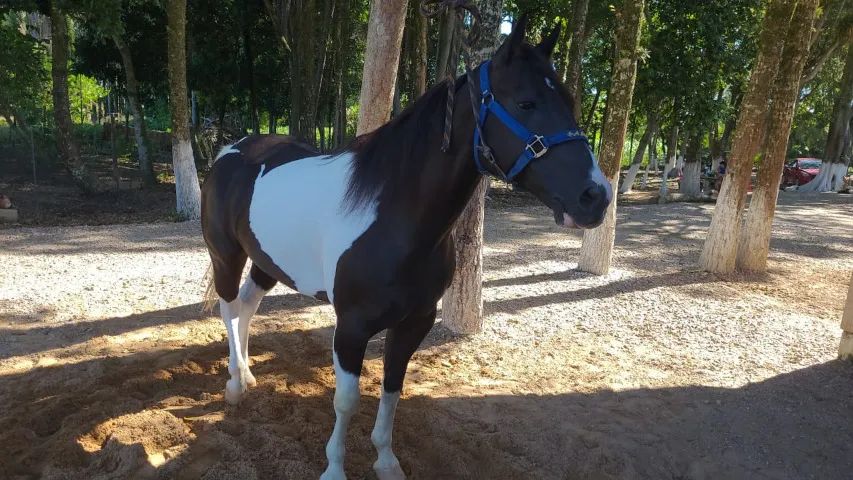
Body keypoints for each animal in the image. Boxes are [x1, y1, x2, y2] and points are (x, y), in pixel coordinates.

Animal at [200, 17, 612, 480]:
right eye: (526, 103)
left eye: (569, 100)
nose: (596, 196)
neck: (395, 221)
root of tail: (230, 150)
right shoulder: (351, 327)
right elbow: (346, 400)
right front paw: (335, 468)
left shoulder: (415, 322)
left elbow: (393, 389)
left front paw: (386, 460)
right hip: (227, 256)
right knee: (229, 308)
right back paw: (235, 385)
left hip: (266, 263)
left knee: (248, 305)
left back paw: (248, 374)